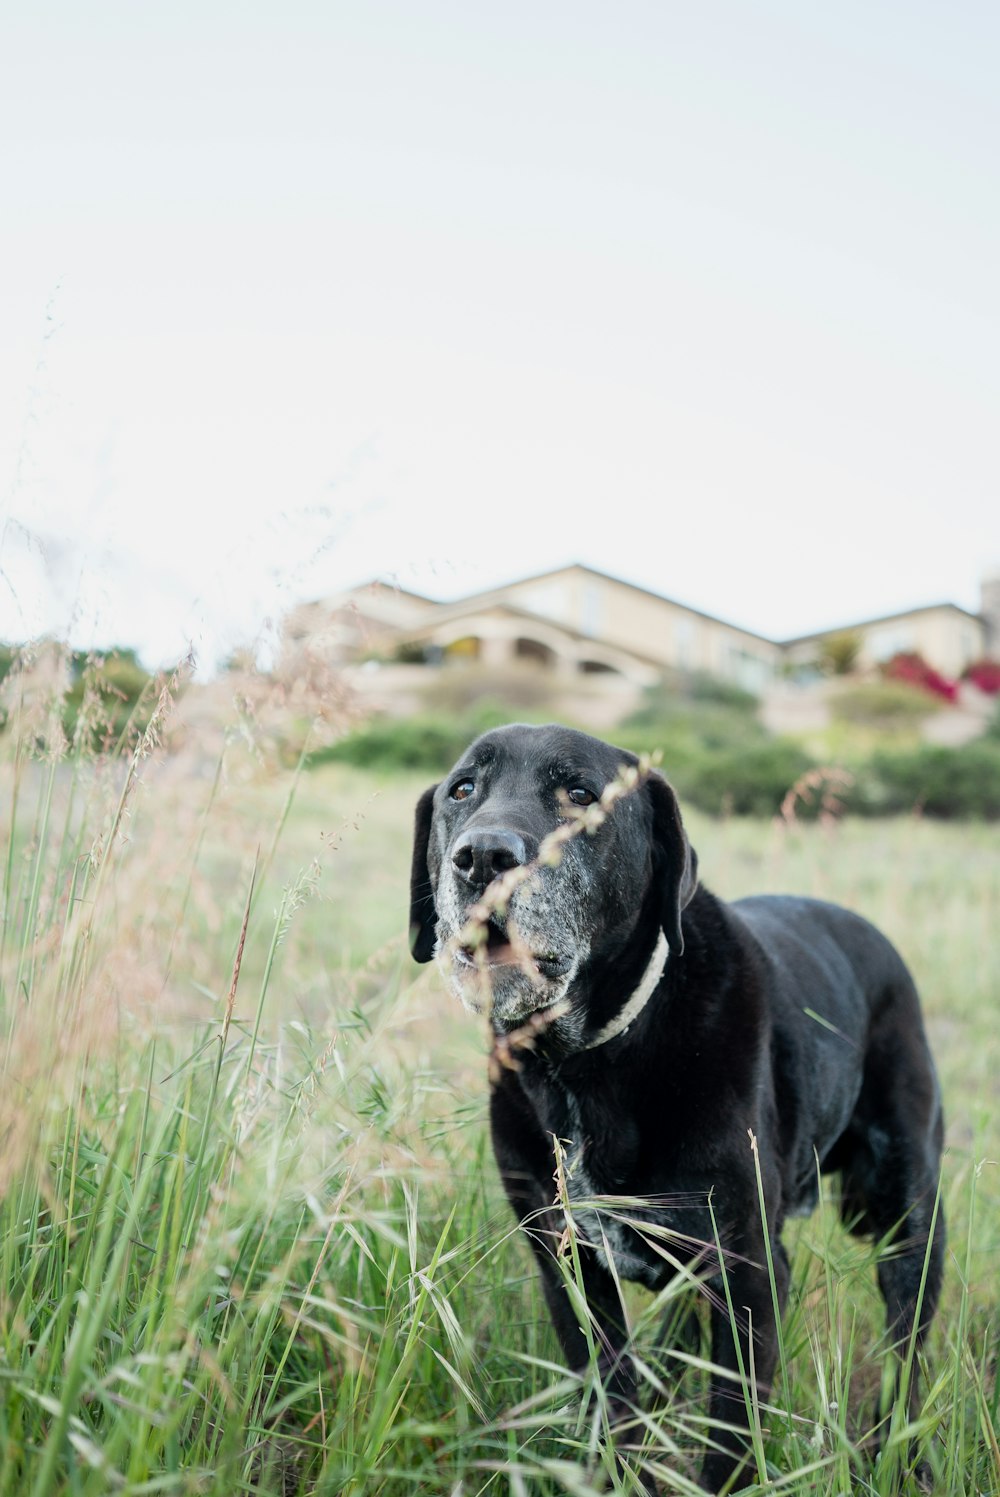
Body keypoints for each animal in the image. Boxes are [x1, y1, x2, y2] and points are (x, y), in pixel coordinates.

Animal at [407, 721, 946, 1485]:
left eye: (580, 794)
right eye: (462, 790)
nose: (483, 856)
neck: (587, 1061)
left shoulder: (749, 1270)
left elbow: (731, 1431)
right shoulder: (566, 1266)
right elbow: (611, 1399)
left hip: (910, 1211)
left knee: (906, 1345)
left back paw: (901, 1456)